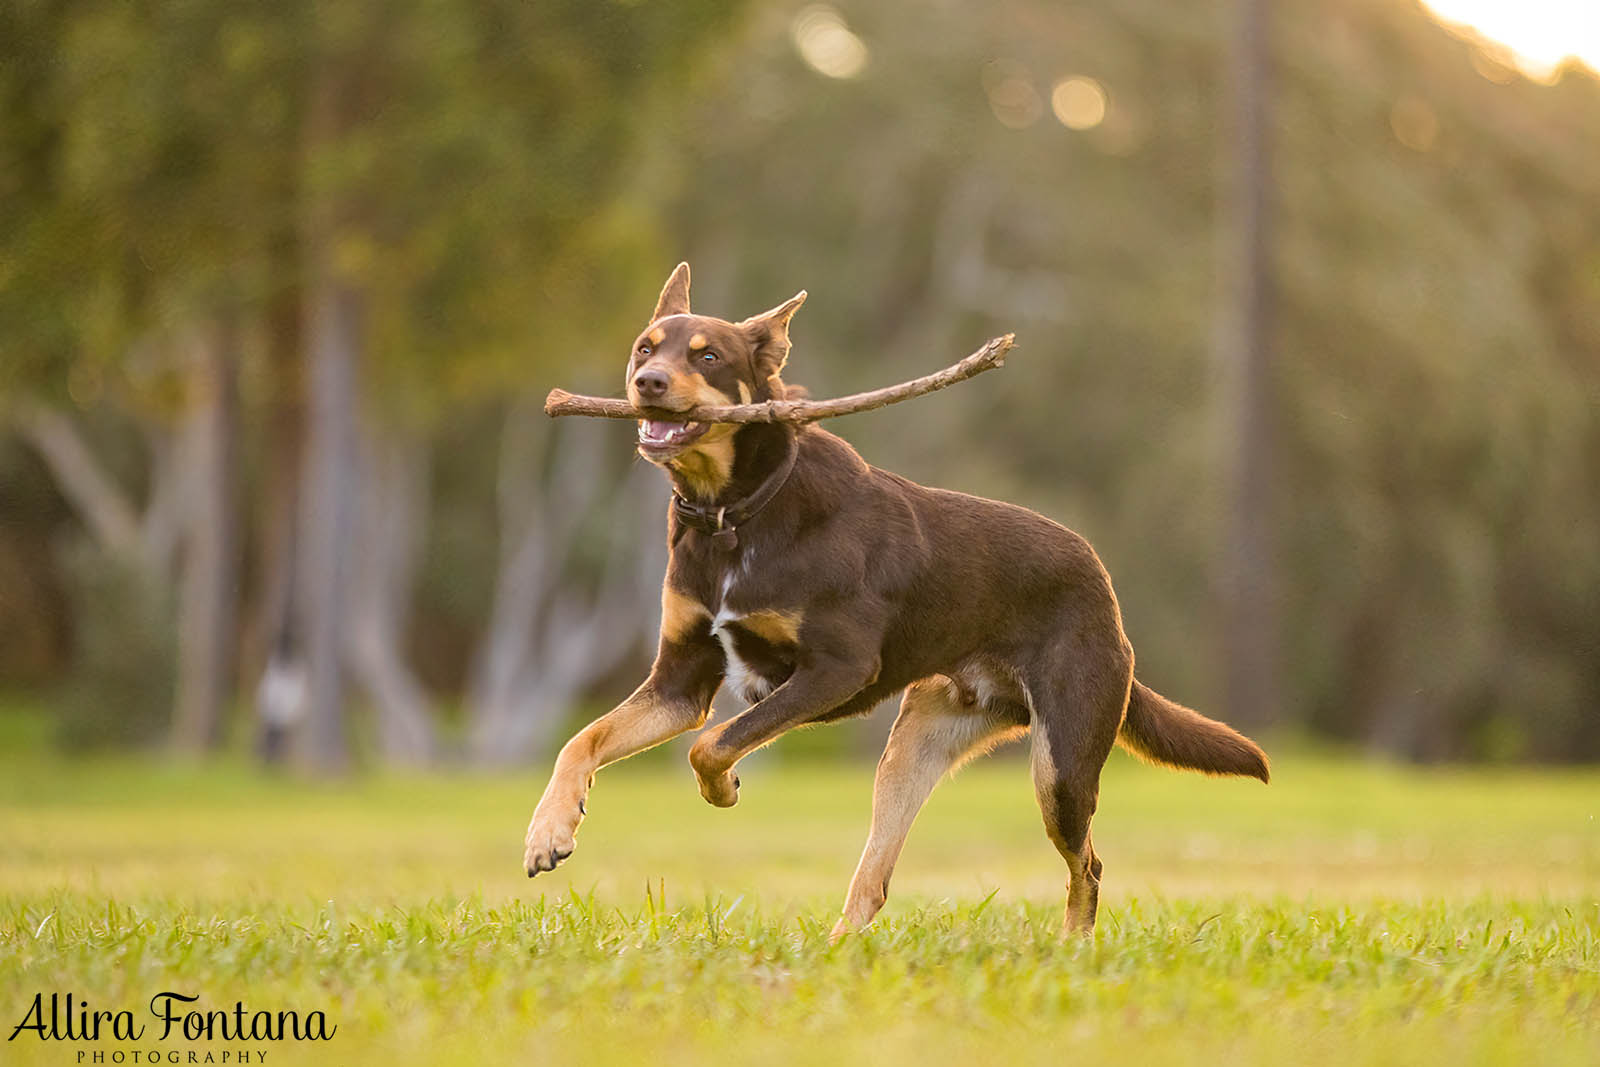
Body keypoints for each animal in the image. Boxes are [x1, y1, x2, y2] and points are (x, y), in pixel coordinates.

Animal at [518, 262, 1267, 940]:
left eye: (708, 356)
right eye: (646, 348)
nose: (647, 384)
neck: (736, 512)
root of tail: (1103, 588)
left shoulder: (835, 669)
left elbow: (711, 746)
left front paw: (722, 789)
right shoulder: (680, 681)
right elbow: (583, 739)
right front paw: (549, 830)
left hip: (1061, 766)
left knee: (1090, 865)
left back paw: (1074, 949)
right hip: (912, 751)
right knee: (875, 875)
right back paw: (839, 946)